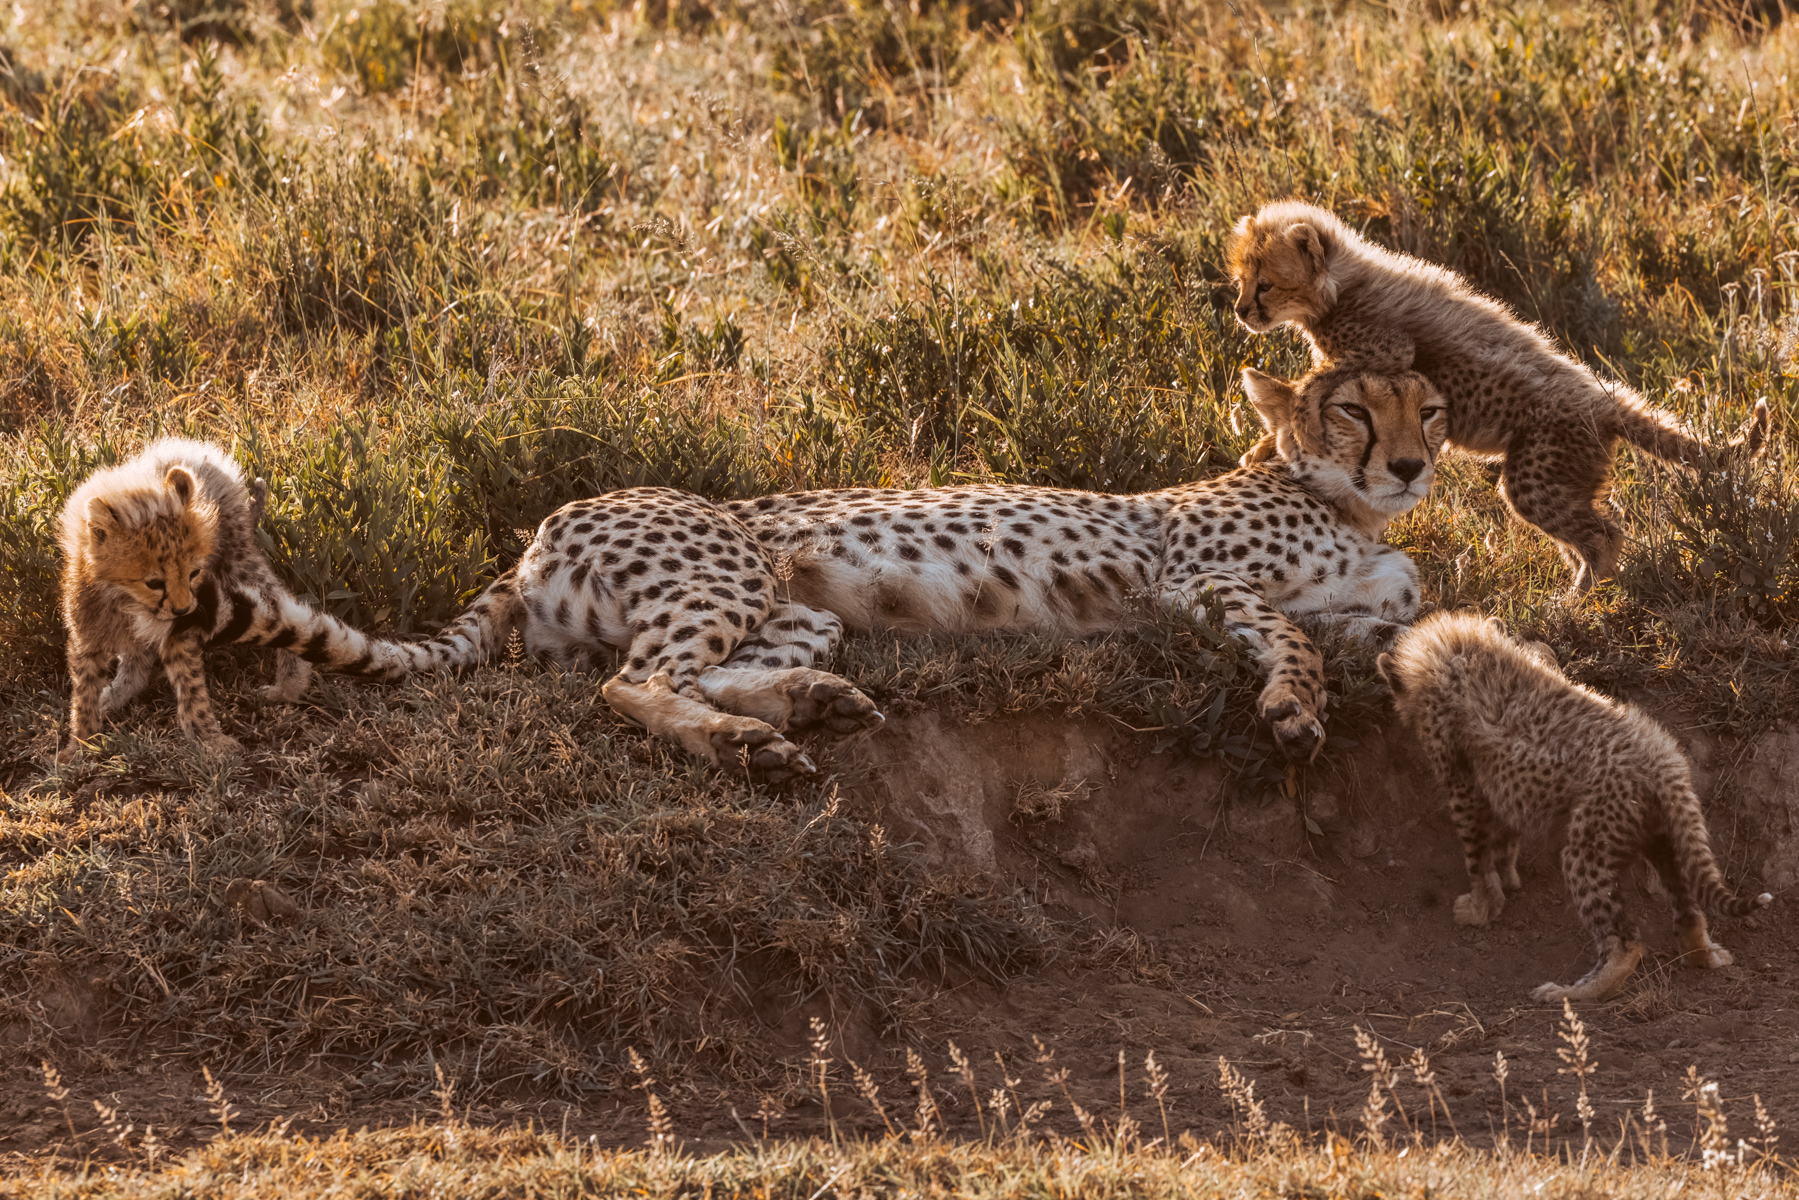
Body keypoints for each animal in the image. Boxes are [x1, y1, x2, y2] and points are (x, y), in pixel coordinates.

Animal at [59, 437, 432, 753]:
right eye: (153, 582)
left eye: (194, 573)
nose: (182, 609)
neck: (127, 601)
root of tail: (193, 451)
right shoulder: (88, 636)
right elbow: (86, 689)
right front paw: (81, 744)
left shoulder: (184, 628)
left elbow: (191, 686)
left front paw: (208, 739)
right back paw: (117, 694)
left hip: (239, 565)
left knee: (286, 615)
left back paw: (289, 686)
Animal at [377, 363, 1449, 779]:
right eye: (1352, 410)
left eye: (1431, 410)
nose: (1409, 464)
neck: (1352, 509)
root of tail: (534, 534)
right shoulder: (1188, 578)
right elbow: (1291, 631)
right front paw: (1294, 707)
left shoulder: (1369, 608)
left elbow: (1385, 628)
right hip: (724, 572)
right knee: (630, 682)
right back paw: (741, 744)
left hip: (794, 608)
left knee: (701, 670)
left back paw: (800, 708)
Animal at [1228, 200, 1770, 592]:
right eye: (1241, 281)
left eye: (1266, 285)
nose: (1240, 311)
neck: (1341, 284)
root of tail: (1607, 399)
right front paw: (1265, 444)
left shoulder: (1388, 350)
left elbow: (1318, 377)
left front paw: (1288, 426)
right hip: (1559, 478)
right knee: (1585, 533)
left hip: (1535, 475)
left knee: (1603, 535)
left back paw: (1572, 604)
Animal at [1378, 609, 1773, 1003]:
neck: (1452, 653)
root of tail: (1664, 758)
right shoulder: (1501, 787)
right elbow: (1504, 839)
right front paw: (1507, 879)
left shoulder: (1463, 788)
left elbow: (1476, 856)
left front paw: (1481, 906)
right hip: (1661, 836)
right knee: (1688, 908)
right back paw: (1702, 954)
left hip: (1588, 848)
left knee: (1625, 942)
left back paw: (1571, 992)